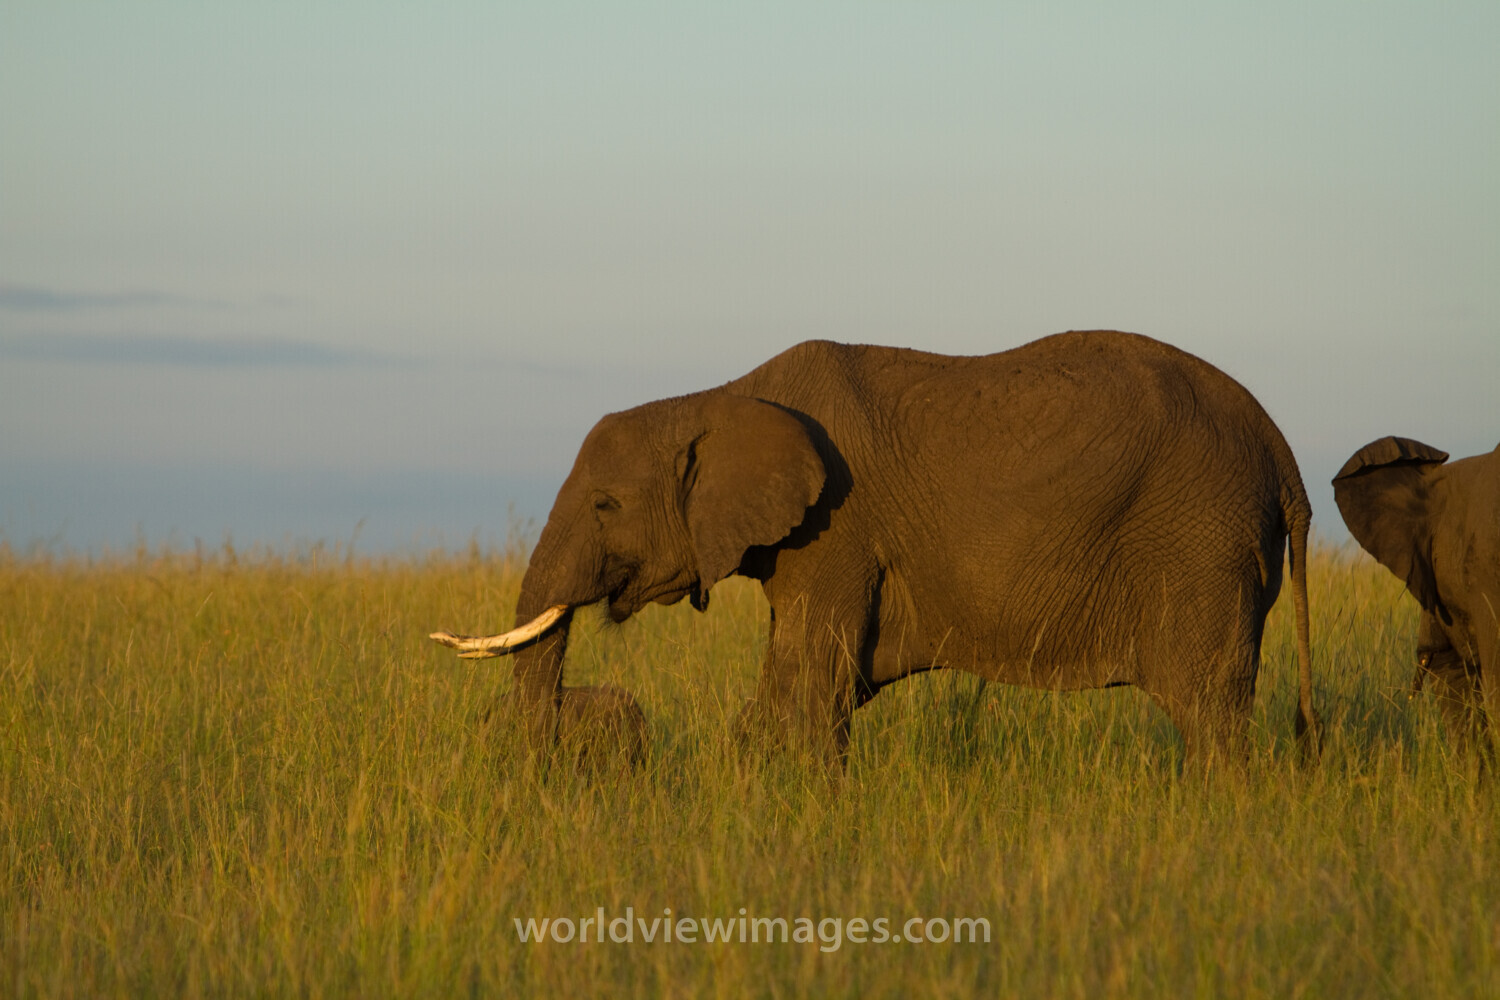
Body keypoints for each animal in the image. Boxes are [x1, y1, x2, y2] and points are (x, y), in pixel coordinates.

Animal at [433, 331, 1320, 770]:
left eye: (606, 505)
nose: (594, 711)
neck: (721, 398)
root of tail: (1282, 449)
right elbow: (794, 689)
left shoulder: (838, 527)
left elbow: (809, 684)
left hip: (1202, 546)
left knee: (1210, 714)